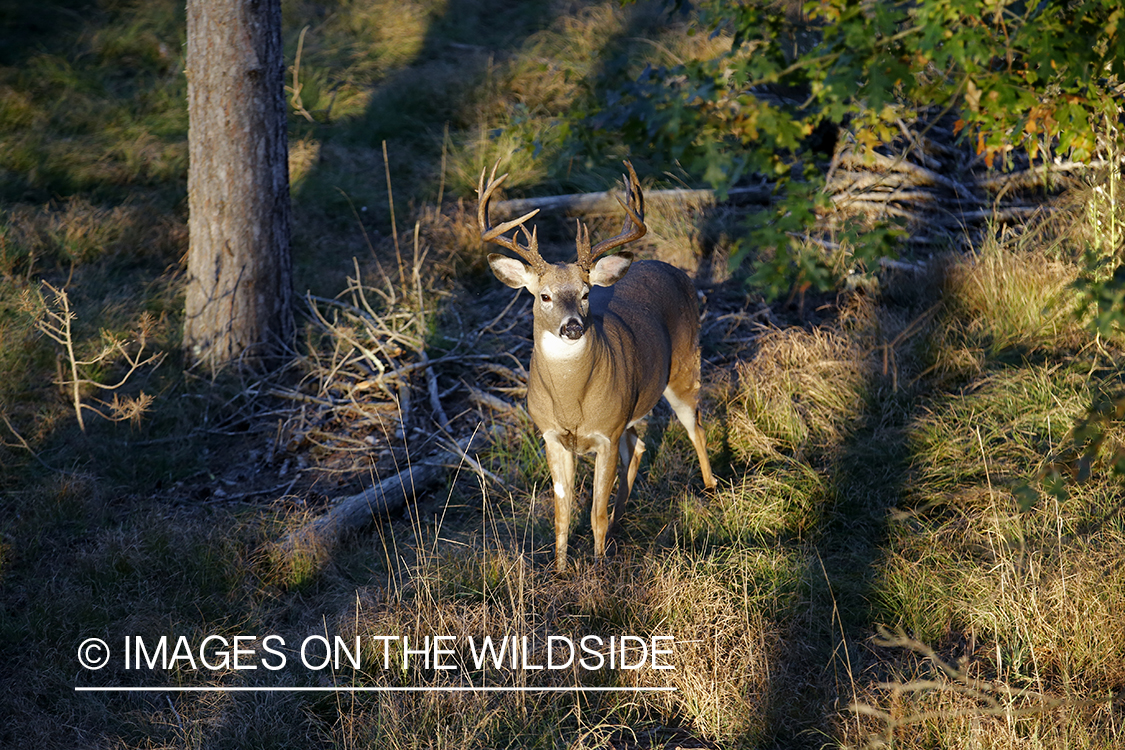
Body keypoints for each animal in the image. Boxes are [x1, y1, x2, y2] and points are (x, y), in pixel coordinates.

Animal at [479, 159, 715, 568]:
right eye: (544, 296)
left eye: (587, 293)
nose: (572, 326)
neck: (572, 402)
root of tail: (677, 271)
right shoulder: (552, 435)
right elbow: (563, 512)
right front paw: (560, 569)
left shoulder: (607, 431)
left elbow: (595, 512)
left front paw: (599, 565)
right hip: (634, 407)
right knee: (638, 446)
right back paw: (623, 519)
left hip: (685, 367)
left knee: (695, 428)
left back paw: (711, 488)